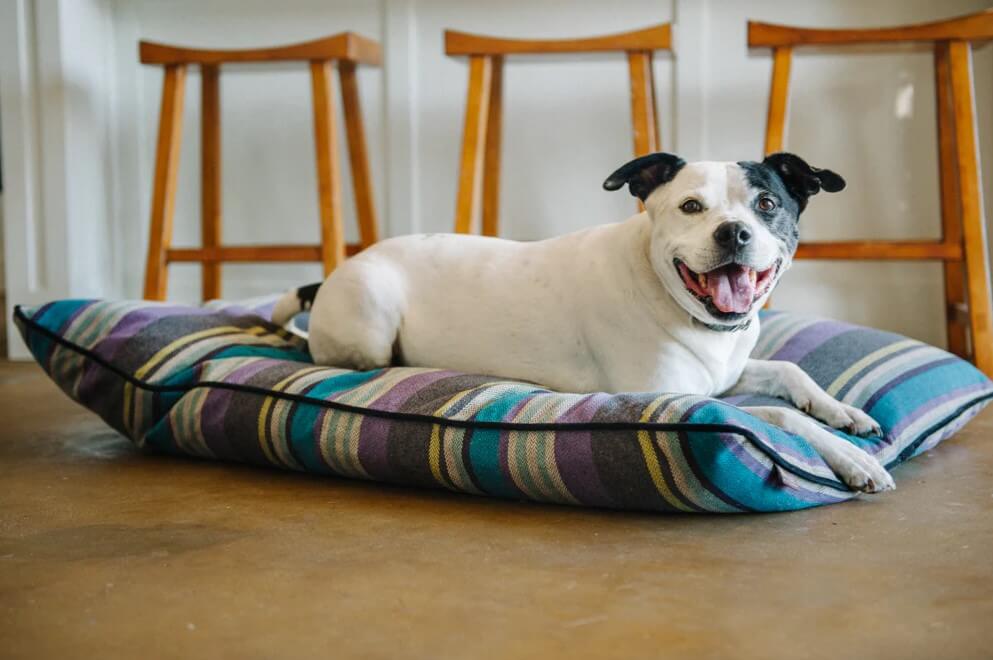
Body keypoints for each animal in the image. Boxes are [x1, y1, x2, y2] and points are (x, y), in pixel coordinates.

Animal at [276, 153, 896, 496]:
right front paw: (852, 458)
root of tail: (341, 269)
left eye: (767, 203)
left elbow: (791, 372)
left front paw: (845, 413)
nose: (734, 233)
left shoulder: (724, 378)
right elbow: (779, 417)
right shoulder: (672, 396)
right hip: (370, 322)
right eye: (691, 207)